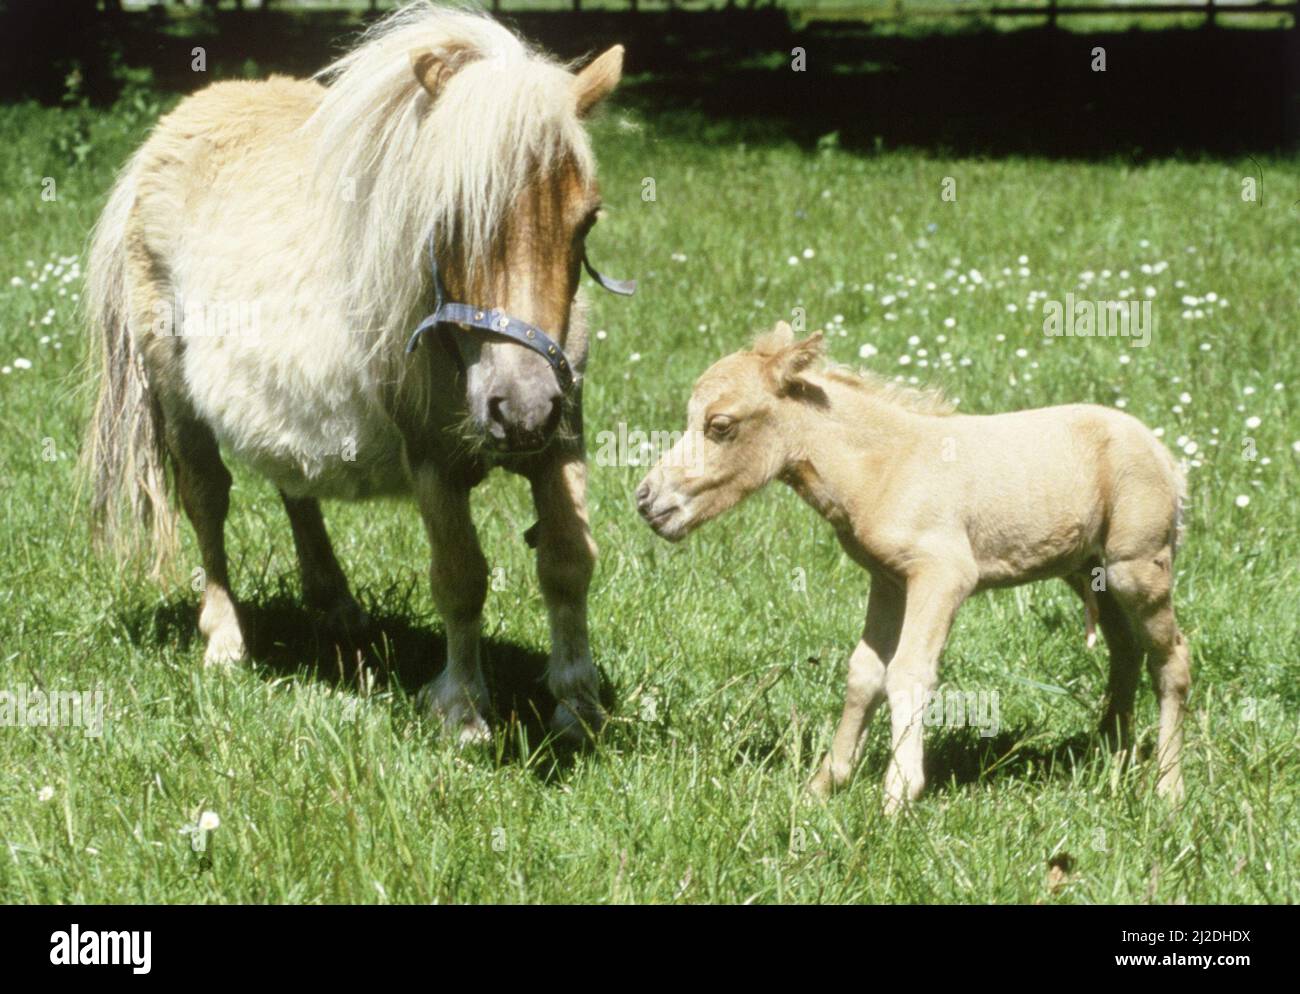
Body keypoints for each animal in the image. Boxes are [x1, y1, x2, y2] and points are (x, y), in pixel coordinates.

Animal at [82, 4, 632, 744]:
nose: (519, 407)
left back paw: (336, 607)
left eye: (587, 219)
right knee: (207, 501)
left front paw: (577, 708)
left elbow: (569, 563)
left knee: (294, 485)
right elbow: (461, 577)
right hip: (177, 400)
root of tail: (159, 142)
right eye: (449, 217)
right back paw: (225, 640)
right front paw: (462, 711)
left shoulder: (561, 440)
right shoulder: (433, 463)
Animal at [636, 322, 1190, 812]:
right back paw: (1111, 757)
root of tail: (1166, 456)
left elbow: (909, 671)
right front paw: (824, 785)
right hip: (1087, 571)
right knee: (1125, 652)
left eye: (720, 425)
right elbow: (864, 673)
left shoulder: (943, 575)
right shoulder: (887, 580)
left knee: (1171, 658)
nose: (647, 501)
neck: (883, 466)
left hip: (1136, 566)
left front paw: (898, 795)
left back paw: (1167, 788)